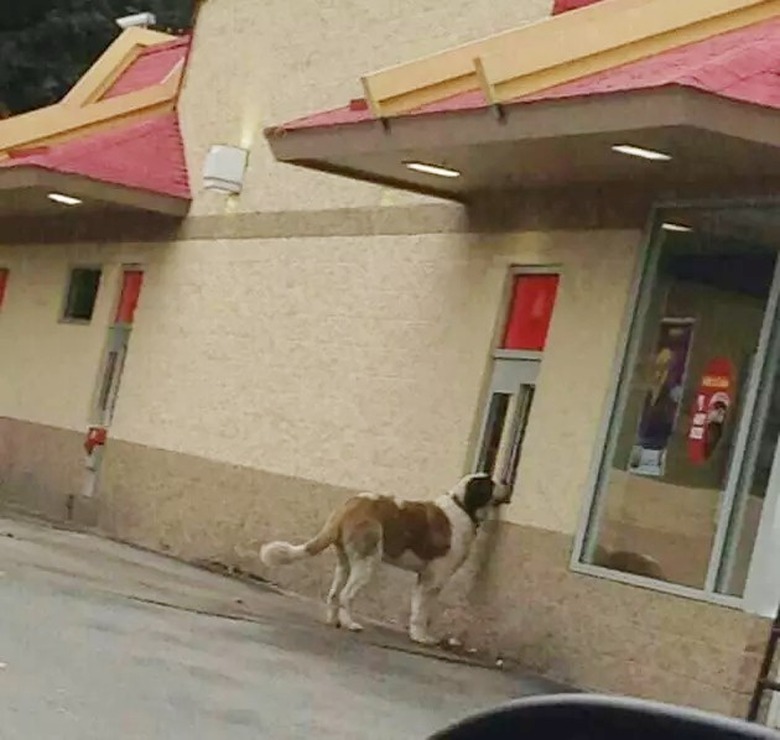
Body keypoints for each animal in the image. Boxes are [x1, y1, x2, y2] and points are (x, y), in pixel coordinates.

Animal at [260, 476, 506, 644]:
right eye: (490, 483)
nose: (505, 481)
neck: (462, 505)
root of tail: (349, 506)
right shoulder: (433, 580)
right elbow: (422, 612)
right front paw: (421, 637)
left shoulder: (423, 579)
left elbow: (416, 607)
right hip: (367, 563)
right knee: (346, 595)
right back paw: (350, 624)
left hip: (345, 563)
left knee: (334, 594)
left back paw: (333, 620)